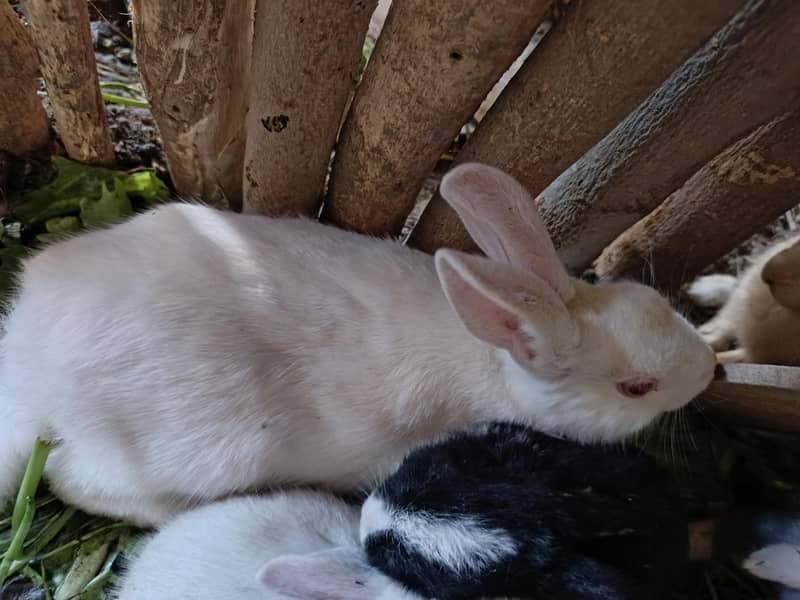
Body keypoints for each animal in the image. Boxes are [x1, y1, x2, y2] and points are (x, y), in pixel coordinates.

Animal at [0, 162, 716, 526]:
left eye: (651, 302)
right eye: (636, 388)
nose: (710, 370)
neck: (490, 354)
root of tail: (30, 371)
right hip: (199, 453)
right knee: (73, 482)